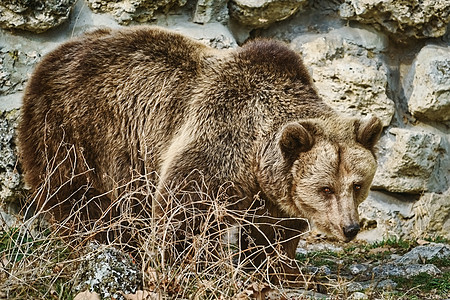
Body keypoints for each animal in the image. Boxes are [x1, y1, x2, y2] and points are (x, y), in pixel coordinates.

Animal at [18, 25, 384, 282]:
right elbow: (186, 208)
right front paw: (190, 267)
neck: (256, 154)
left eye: (357, 185)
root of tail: (56, 53)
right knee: (78, 195)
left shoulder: (272, 188)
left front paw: (277, 270)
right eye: (326, 188)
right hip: (77, 127)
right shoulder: (219, 139)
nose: (350, 228)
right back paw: (97, 243)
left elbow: (273, 231)